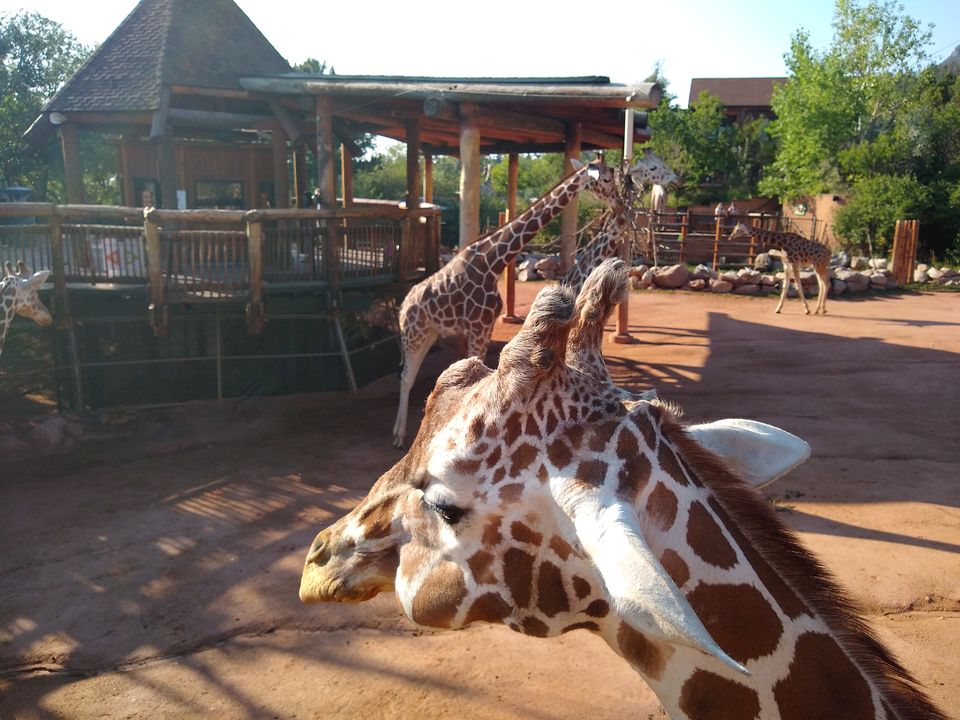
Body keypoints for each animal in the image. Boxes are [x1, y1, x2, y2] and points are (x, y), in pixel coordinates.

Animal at [392, 158, 623, 449]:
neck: (493, 262)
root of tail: (403, 307)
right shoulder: (479, 327)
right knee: (405, 378)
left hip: (430, 333)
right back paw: (399, 436)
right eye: (605, 179)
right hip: (415, 334)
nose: (618, 203)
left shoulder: (483, 327)